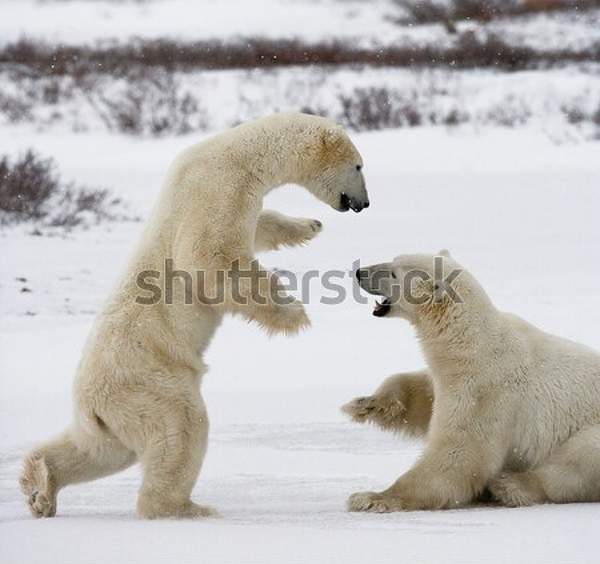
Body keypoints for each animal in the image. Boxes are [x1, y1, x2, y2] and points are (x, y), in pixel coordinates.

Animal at [21, 113, 368, 520]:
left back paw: (41, 487)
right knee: (180, 429)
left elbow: (258, 230)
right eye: (359, 166)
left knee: (101, 450)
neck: (239, 155)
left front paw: (308, 226)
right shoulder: (218, 189)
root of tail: (90, 401)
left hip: (115, 414)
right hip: (153, 382)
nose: (364, 203)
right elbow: (209, 261)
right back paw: (185, 508)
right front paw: (293, 313)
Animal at [342, 251, 600, 512]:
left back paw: (509, 487)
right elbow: (426, 395)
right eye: (393, 259)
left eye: (394, 273)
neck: (470, 342)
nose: (359, 272)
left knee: (576, 461)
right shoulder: (451, 373)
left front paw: (371, 497)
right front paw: (367, 404)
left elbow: (459, 453)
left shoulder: (487, 388)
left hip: (590, 432)